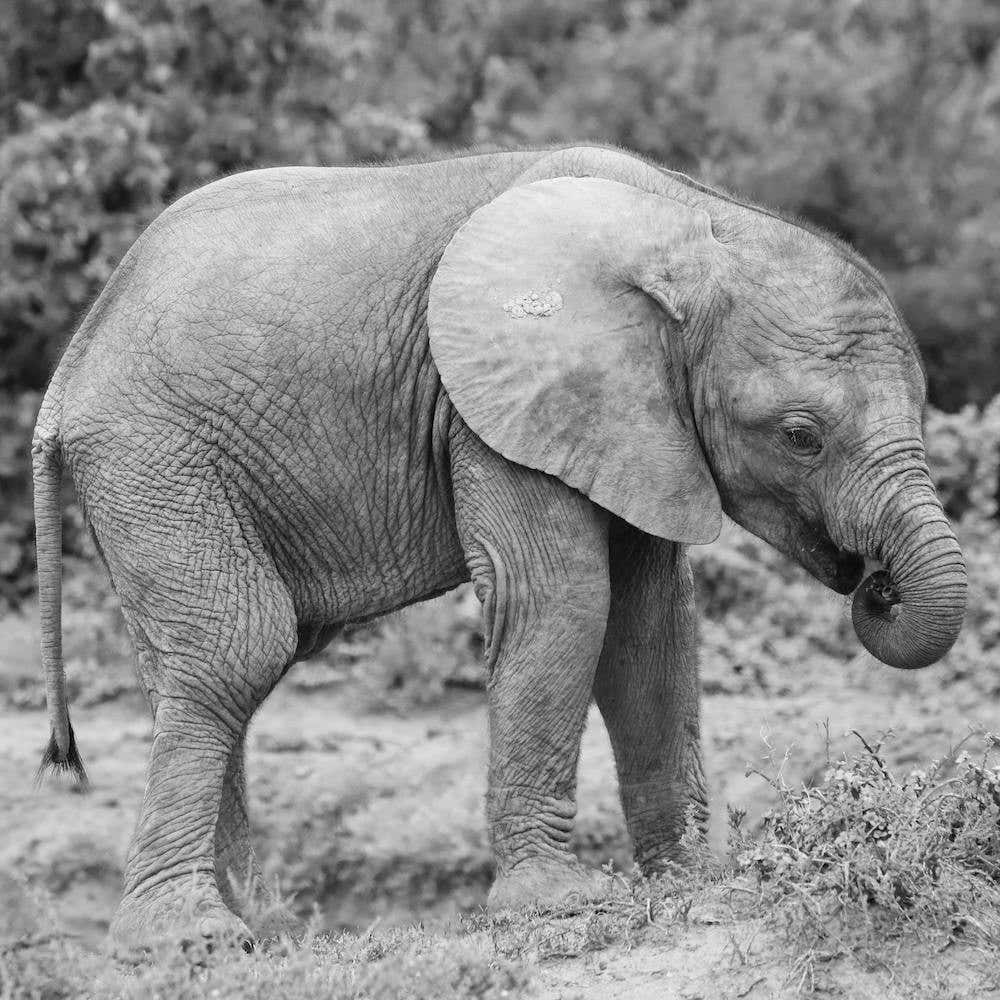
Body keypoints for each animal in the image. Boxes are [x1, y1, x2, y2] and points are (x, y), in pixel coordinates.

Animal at [32, 144, 966, 947]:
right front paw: (557, 906)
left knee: (199, 674)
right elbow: (563, 597)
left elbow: (650, 627)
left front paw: (695, 884)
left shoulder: (633, 421)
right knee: (236, 650)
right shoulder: (497, 401)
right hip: (155, 457)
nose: (876, 583)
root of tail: (68, 368)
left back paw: (255, 935)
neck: (694, 227)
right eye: (802, 436)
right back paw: (188, 939)